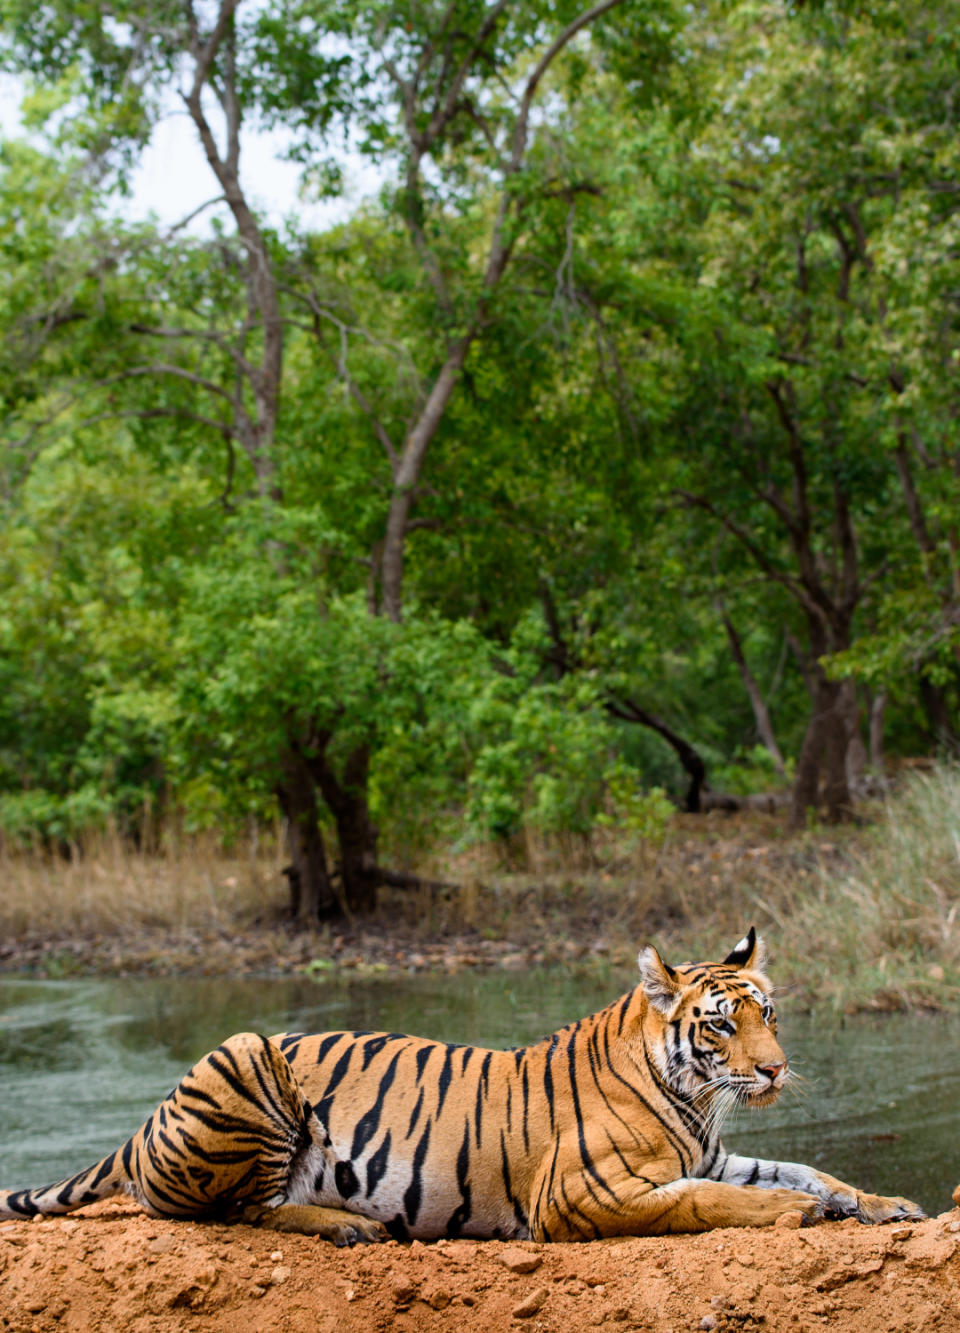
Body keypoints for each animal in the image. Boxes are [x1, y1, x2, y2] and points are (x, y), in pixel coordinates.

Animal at [0, 933, 922, 1242]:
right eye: (722, 1026)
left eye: (770, 1013)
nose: (773, 1068)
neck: (693, 1100)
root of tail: (141, 1122)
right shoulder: (582, 1191)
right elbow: (709, 1199)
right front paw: (798, 1213)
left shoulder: (714, 1152)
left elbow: (809, 1170)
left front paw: (882, 1204)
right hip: (246, 1050)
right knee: (234, 1210)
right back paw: (346, 1225)